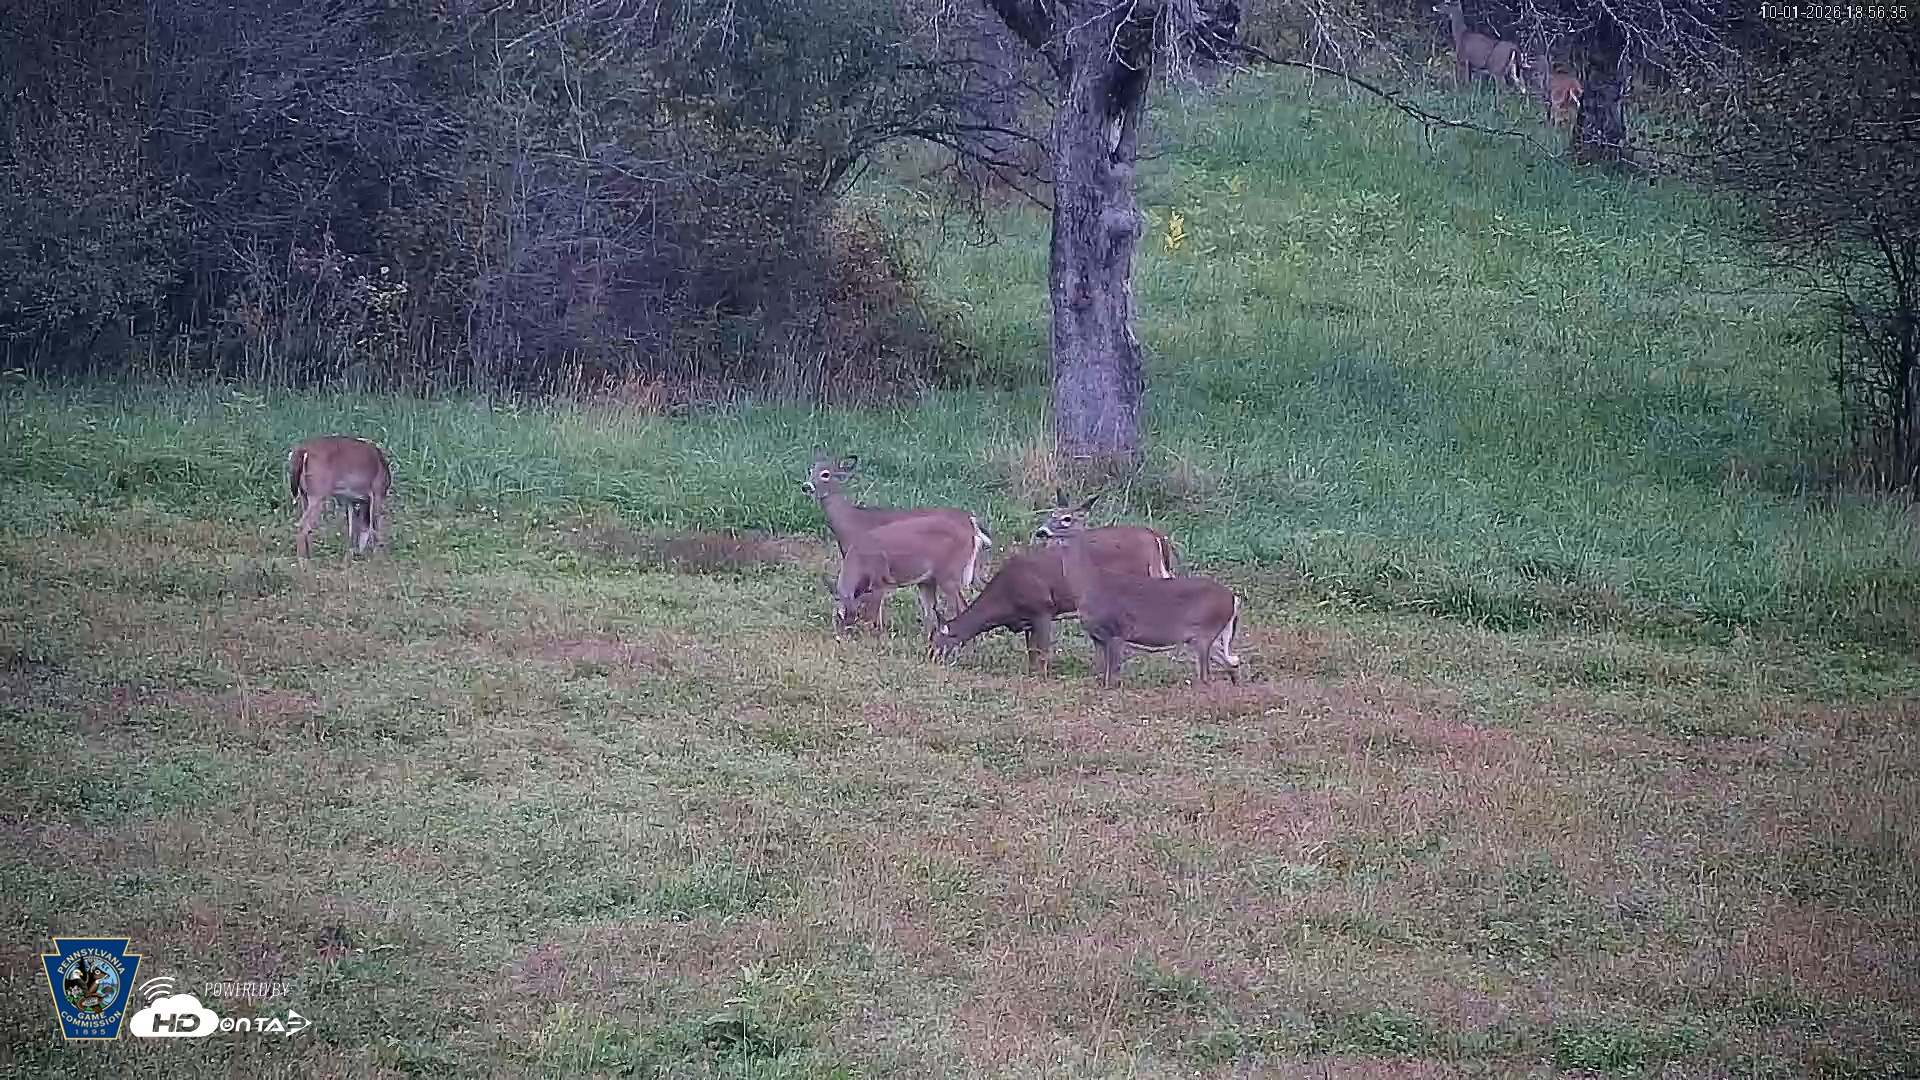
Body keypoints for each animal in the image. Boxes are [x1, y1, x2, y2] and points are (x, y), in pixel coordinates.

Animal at [287, 435, 391, 567]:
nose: (360, 554)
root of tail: (303, 451)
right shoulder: (377, 492)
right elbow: (374, 526)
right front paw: (378, 558)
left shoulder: (352, 500)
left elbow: (353, 530)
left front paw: (349, 557)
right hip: (318, 492)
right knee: (302, 526)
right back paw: (303, 562)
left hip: (304, 494)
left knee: (306, 527)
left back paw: (309, 557)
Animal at [825, 514, 981, 642]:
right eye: (837, 616)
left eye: (849, 614)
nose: (841, 636)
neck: (859, 562)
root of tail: (972, 530)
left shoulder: (880, 581)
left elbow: (872, 614)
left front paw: (873, 637)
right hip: (928, 581)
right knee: (930, 612)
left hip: (948, 574)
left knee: (960, 606)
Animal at [929, 496, 1179, 675]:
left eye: (937, 642)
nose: (931, 659)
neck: (1006, 598)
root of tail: (1157, 537)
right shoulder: (1026, 619)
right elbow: (1031, 651)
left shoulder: (1043, 609)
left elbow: (1042, 651)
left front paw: (1042, 675)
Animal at [1032, 492, 1243, 689]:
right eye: (1052, 513)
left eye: (1067, 518)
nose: (1041, 532)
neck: (1090, 584)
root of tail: (1233, 599)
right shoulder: (1098, 637)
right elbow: (1101, 676)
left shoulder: (1117, 632)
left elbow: (1111, 680)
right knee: (1232, 664)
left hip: (1205, 633)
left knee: (1208, 675)